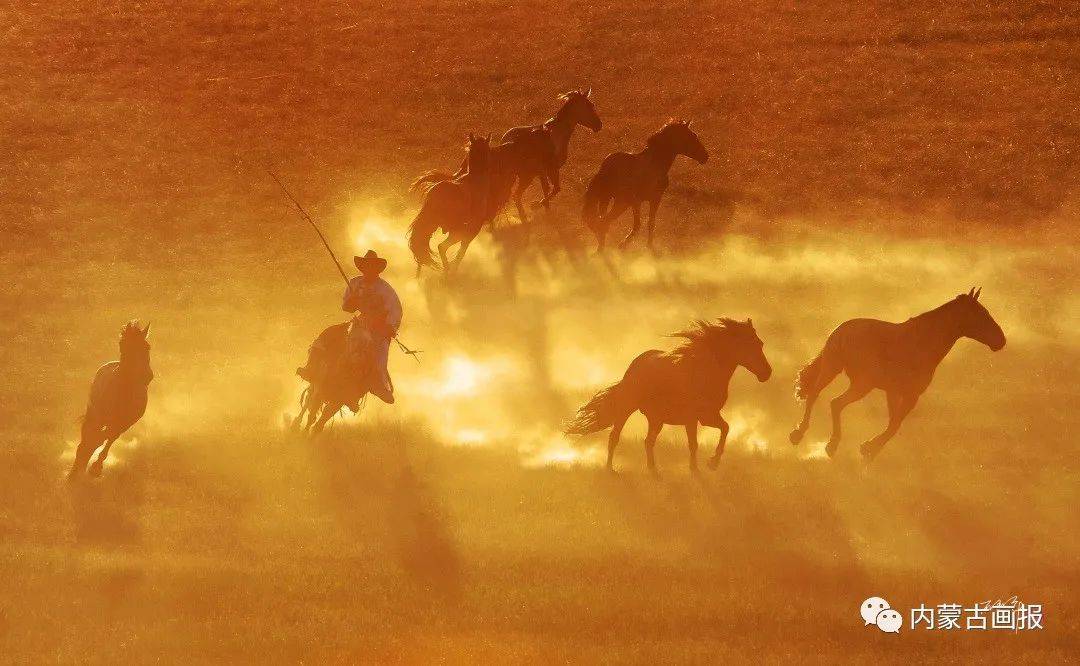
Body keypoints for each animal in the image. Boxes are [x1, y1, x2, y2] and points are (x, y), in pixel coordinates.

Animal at [68, 317, 153, 477]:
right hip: (95, 415)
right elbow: (92, 439)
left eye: (147, 347)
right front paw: (76, 470)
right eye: (125, 346)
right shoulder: (97, 417)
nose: (148, 376)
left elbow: (103, 439)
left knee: (107, 439)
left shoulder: (123, 424)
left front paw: (93, 467)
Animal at [406, 133, 492, 274]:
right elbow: (462, 250)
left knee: (422, 246)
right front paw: (454, 267)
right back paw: (446, 272)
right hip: (454, 231)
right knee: (441, 247)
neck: (475, 181)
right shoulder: (472, 230)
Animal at [565, 317, 768, 470]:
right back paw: (611, 471)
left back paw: (655, 474)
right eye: (754, 344)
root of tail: (634, 366)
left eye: (760, 343)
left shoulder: (708, 416)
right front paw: (697, 471)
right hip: (626, 409)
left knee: (648, 442)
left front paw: (712, 463)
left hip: (656, 419)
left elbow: (725, 428)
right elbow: (694, 444)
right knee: (615, 437)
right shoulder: (692, 418)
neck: (704, 372)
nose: (767, 373)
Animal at [583, 118, 708, 249]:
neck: (655, 164)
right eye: (692, 136)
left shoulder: (647, 201)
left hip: (606, 199)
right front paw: (626, 245)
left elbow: (649, 224)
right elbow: (642, 225)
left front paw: (648, 247)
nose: (705, 156)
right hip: (621, 202)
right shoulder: (648, 200)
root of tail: (605, 168)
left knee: (601, 222)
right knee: (604, 222)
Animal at [790, 289, 1006, 459]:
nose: (1001, 341)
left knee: (815, 395)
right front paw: (869, 448)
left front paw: (871, 449)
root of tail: (841, 331)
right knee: (834, 402)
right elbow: (895, 425)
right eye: (981, 314)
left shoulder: (892, 392)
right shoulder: (911, 395)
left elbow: (893, 422)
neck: (923, 342)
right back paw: (829, 444)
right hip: (860, 384)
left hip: (833, 369)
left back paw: (800, 434)